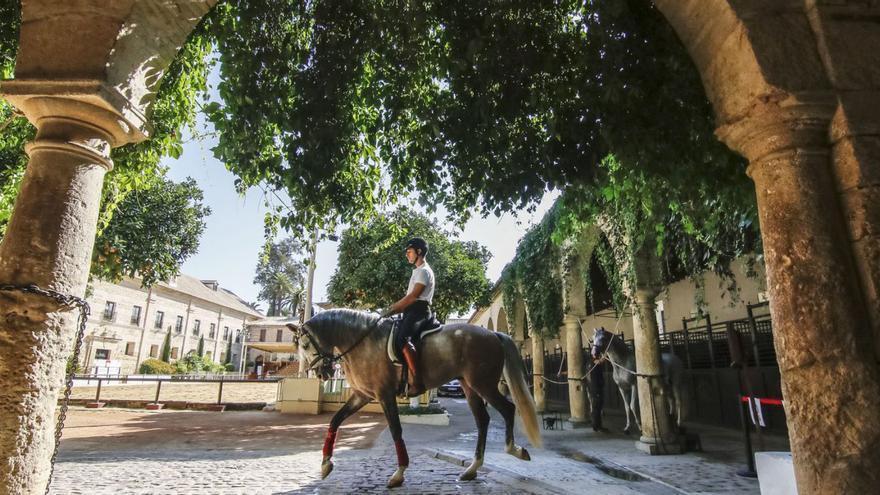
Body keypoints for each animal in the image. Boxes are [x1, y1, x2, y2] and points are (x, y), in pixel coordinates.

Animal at [288, 312, 540, 490]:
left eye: (306, 345)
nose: (321, 373)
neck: (364, 343)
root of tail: (493, 334)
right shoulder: (362, 395)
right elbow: (335, 420)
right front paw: (325, 464)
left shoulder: (384, 395)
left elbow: (396, 430)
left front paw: (398, 474)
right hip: (470, 386)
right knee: (483, 420)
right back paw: (472, 468)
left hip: (483, 384)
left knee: (508, 409)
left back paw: (515, 450)